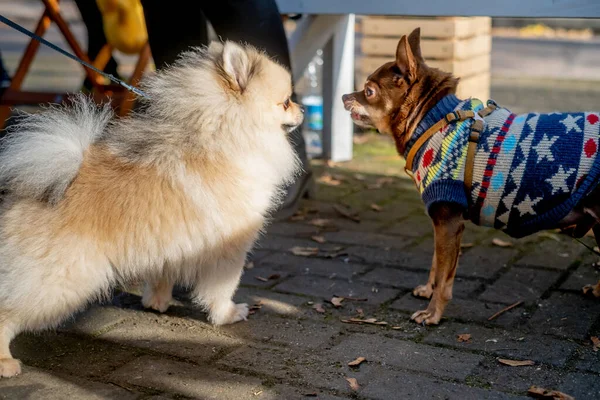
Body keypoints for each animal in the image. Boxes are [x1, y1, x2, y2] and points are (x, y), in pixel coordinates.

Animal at [0, 39, 302, 376]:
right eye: (285, 102)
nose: (302, 110)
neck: (224, 135)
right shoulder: (229, 249)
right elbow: (222, 288)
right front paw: (228, 314)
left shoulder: (168, 244)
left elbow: (161, 274)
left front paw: (157, 301)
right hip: (60, 283)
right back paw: (6, 362)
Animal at [342, 28, 600, 324]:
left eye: (368, 91)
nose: (344, 96)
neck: (431, 122)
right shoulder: (442, 224)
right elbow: (437, 263)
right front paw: (428, 290)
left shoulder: (448, 221)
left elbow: (445, 276)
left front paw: (433, 313)